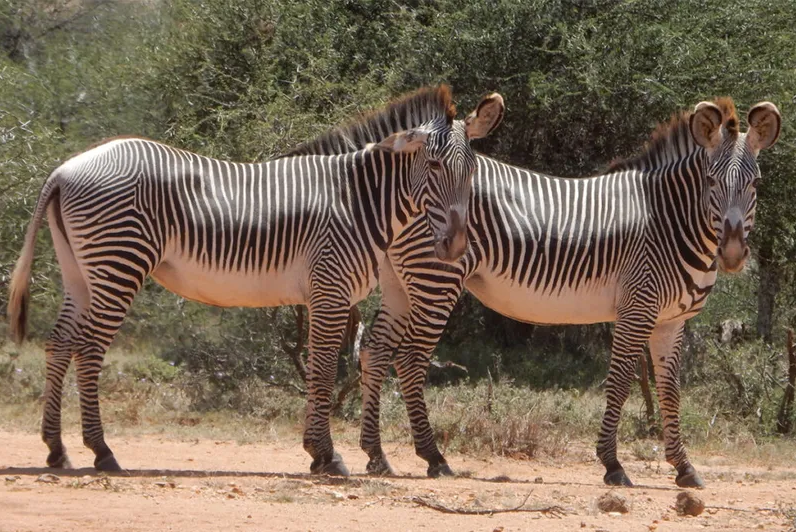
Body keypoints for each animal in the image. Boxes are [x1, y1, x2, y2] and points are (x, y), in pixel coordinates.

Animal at [6, 85, 504, 476]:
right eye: (434, 167)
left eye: (471, 171)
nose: (455, 248)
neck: (357, 201)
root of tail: (64, 168)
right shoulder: (330, 288)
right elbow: (324, 369)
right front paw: (327, 456)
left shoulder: (324, 293)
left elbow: (320, 368)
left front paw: (317, 452)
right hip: (119, 263)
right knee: (89, 349)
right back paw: (102, 451)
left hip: (80, 270)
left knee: (60, 342)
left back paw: (57, 449)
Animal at [290, 97, 780, 484]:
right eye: (712, 183)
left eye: (755, 183)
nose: (733, 253)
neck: (669, 222)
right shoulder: (637, 307)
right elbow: (621, 380)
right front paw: (613, 464)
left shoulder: (672, 321)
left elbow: (671, 390)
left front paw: (684, 467)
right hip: (435, 277)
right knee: (410, 359)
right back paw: (433, 457)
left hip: (400, 281)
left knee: (374, 351)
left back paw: (376, 455)